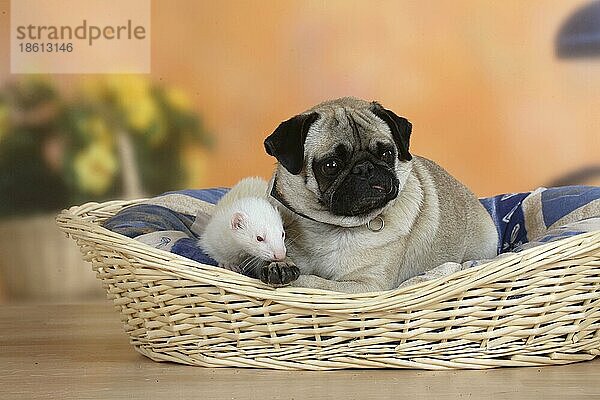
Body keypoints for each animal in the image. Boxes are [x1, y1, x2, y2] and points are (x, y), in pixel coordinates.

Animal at [260, 95, 500, 292]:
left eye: (386, 153)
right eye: (331, 165)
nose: (365, 168)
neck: (331, 227)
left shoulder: (366, 285)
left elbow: (315, 282)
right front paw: (279, 266)